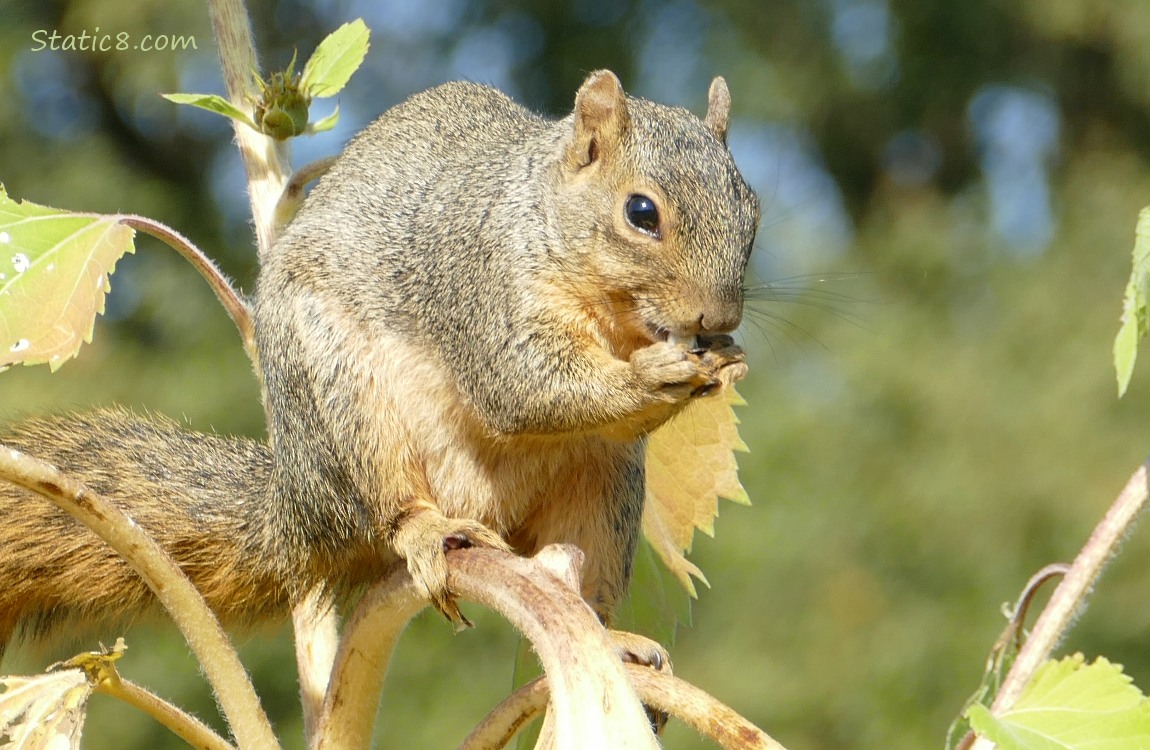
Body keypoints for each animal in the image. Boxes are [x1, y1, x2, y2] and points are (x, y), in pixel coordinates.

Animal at [0, 70, 754, 657]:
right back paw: (429, 529)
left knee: (575, 581)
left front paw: (725, 362)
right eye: (641, 212)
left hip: (603, 495)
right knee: (391, 509)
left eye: (753, 215)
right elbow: (523, 389)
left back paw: (610, 639)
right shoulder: (482, 290)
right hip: (351, 414)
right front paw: (654, 375)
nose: (717, 320)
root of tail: (298, 507)